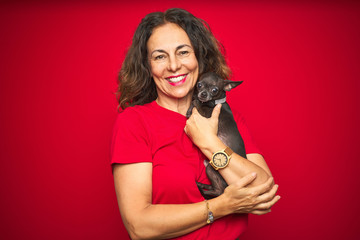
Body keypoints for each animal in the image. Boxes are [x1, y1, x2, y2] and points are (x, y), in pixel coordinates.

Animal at [187, 72, 246, 200]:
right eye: (199, 85)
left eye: (214, 90)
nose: (203, 94)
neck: (215, 103)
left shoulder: (204, 114)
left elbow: (196, 103)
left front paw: (191, 107)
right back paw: (201, 185)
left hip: (211, 168)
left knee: (219, 192)